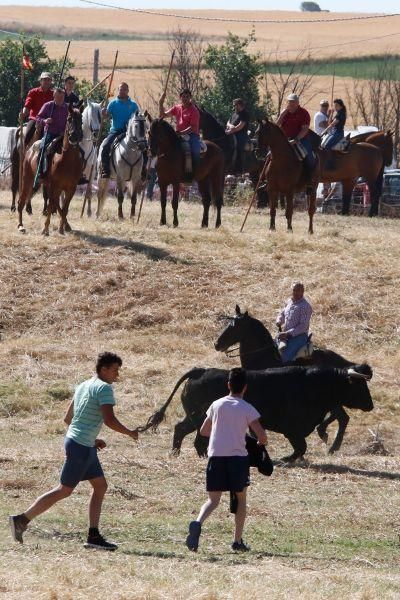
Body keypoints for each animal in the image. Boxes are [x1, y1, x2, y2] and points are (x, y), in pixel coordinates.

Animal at [18, 103, 83, 234]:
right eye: (69, 119)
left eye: (81, 120)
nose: (74, 137)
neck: (68, 160)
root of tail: (29, 150)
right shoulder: (55, 186)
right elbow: (52, 205)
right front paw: (45, 229)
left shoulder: (71, 188)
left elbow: (64, 209)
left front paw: (62, 229)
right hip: (28, 179)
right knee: (22, 200)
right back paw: (21, 225)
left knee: (56, 204)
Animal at [141, 364, 372, 462]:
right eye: (360, 386)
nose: (370, 405)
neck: (318, 384)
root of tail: (201, 370)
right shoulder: (293, 429)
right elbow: (301, 447)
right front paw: (286, 459)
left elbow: (302, 447)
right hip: (200, 417)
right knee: (196, 438)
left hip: (195, 417)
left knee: (182, 430)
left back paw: (178, 453)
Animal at [216, 304, 372, 454]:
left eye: (235, 326)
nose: (217, 344)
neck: (264, 357)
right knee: (342, 417)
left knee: (343, 418)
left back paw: (329, 442)